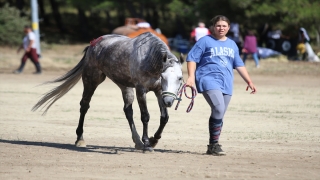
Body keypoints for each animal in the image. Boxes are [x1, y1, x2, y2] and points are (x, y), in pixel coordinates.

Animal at [32, 32, 184, 152]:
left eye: (180, 78)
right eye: (163, 76)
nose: (169, 101)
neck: (149, 59)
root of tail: (92, 44)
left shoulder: (159, 91)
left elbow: (164, 117)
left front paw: (154, 140)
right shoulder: (141, 91)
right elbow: (145, 116)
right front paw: (147, 143)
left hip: (125, 86)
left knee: (128, 111)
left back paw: (137, 142)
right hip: (91, 80)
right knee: (84, 105)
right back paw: (80, 138)